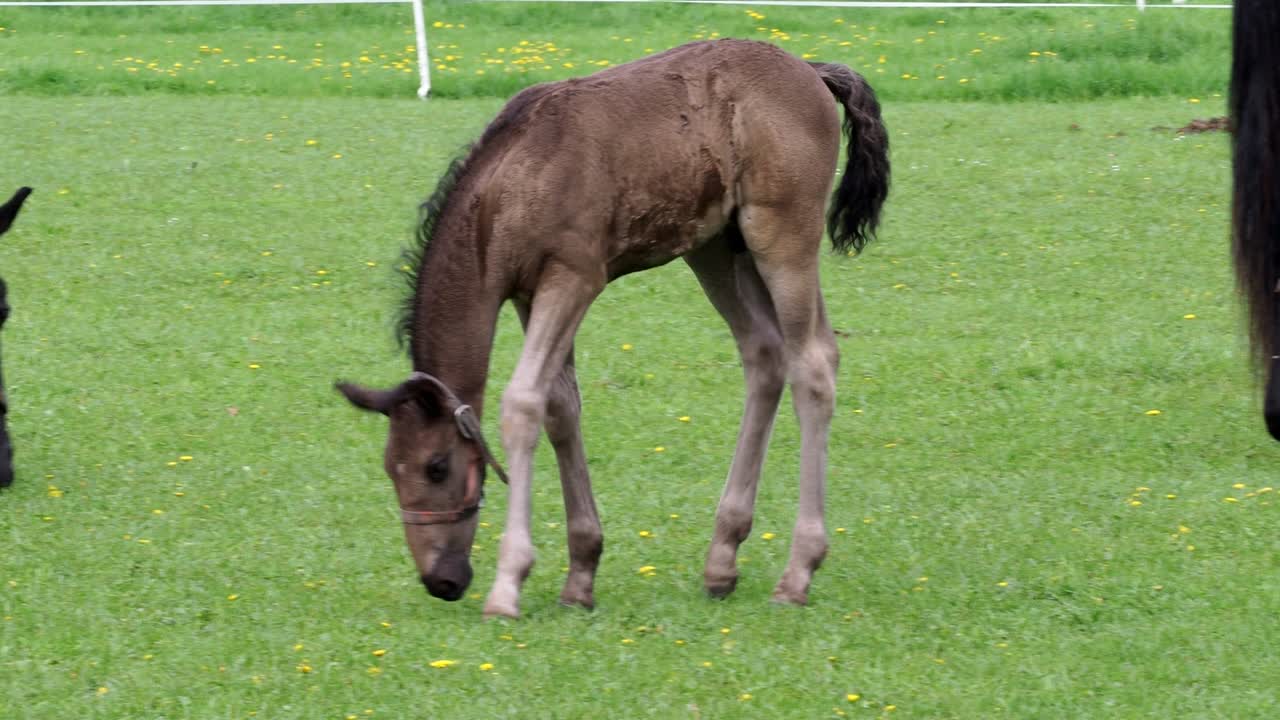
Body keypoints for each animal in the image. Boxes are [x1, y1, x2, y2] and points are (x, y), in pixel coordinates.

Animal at [338, 39, 890, 618]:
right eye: (390, 469)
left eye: (437, 466)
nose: (440, 580)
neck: (508, 186)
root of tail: (811, 70)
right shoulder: (530, 294)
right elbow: (560, 406)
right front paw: (580, 573)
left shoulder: (574, 276)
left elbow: (523, 403)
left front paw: (508, 583)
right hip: (717, 248)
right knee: (766, 353)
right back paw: (721, 560)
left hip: (782, 234)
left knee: (813, 365)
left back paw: (798, 571)